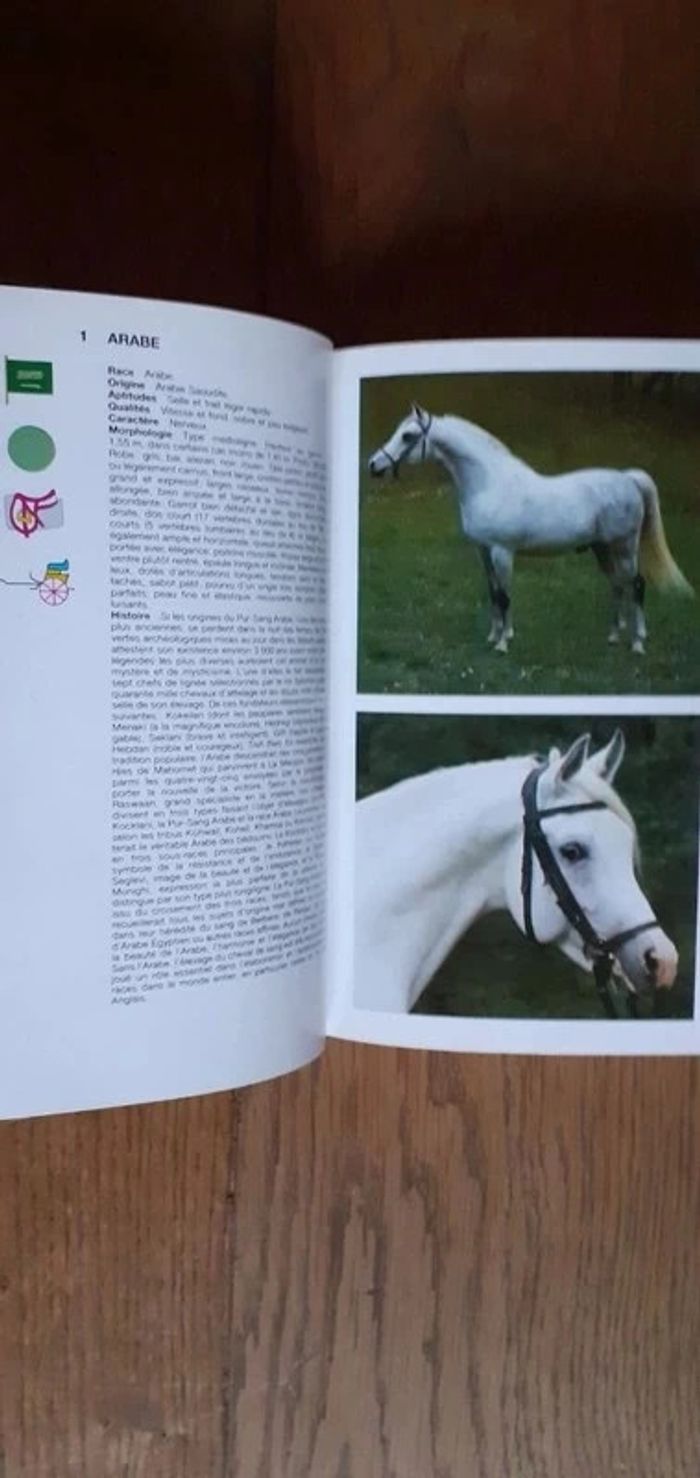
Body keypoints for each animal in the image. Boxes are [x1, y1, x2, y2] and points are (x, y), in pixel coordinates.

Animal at [368, 403, 693, 654]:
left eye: (408, 435)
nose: (373, 465)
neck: (490, 483)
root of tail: (628, 479)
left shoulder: (502, 551)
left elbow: (504, 596)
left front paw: (503, 644)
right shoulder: (483, 551)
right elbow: (493, 592)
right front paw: (494, 636)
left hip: (625, 545)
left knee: (636, 584)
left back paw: (637, 643)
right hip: (603, 548)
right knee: (617, 584)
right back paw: (613, 637)